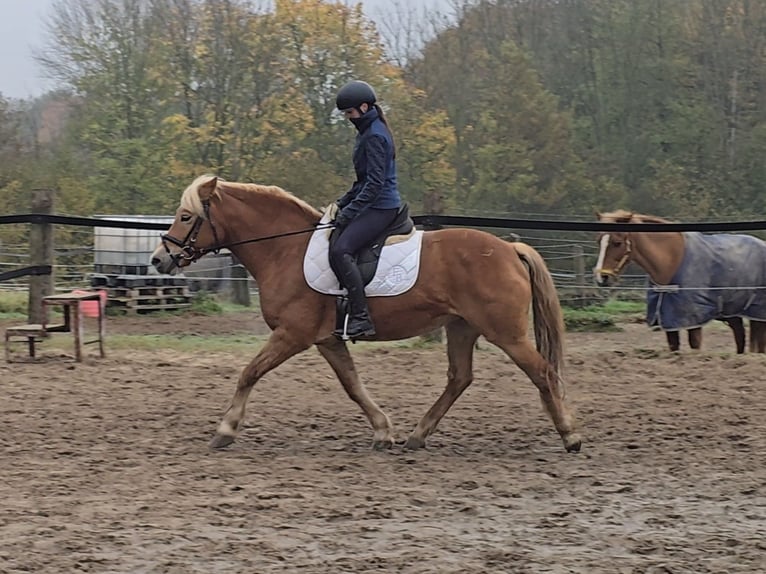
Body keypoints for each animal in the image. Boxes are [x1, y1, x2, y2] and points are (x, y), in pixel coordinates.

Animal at [150, 176, 584, 454]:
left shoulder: (292, 334)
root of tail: (510, 249)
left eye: (186, 216)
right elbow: (353, 386)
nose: (159, 260)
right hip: (462, 327)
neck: (284, 250)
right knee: (460, 378)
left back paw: (570, 436)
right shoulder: (326, 340)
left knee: (542, 372)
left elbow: (249, 372)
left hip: (505, 332)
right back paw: (417, 435)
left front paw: (225, 430)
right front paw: (382, 431)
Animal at [592, 212, 766, 356]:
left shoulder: (693, 320)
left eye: (617, 242)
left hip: (757, 313)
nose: (602, 277)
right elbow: (674, 346)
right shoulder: (669, 321)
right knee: (740, 338)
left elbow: (695, 345)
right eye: (599, 241)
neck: (671, 259)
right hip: (733, 313)